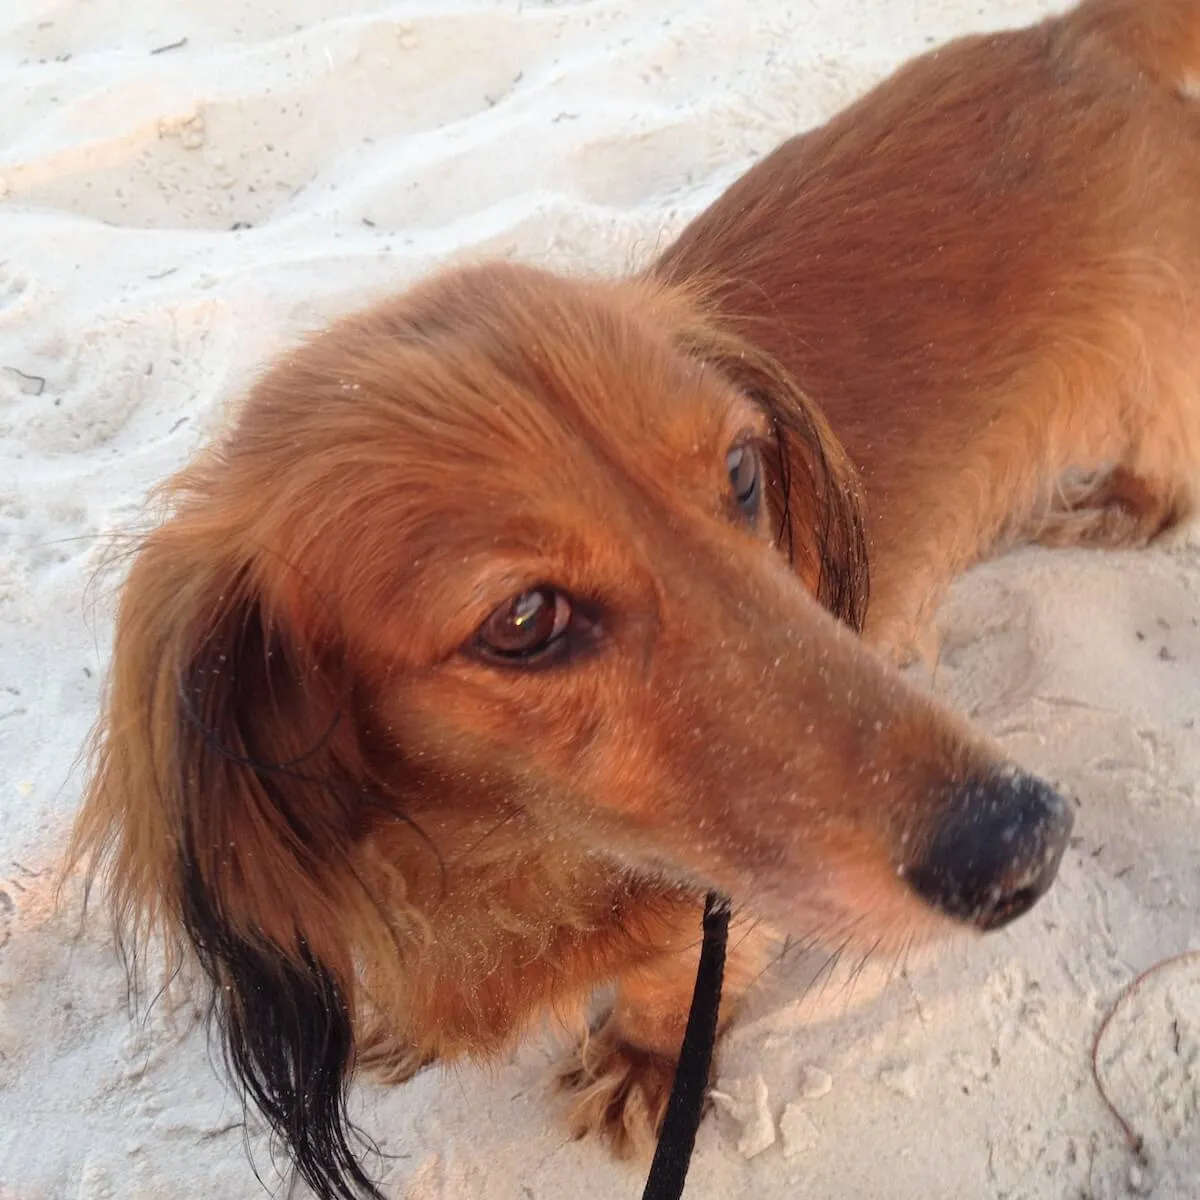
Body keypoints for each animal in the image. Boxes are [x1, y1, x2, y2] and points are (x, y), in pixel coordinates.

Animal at [70, 2, 1195, 1200]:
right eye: (524, 620)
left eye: (743, 472)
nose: (1027, 845)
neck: (514, 847)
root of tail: (1076, 35)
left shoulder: (713, 904)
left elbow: (670, 979)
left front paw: (646, 1061)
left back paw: (1122, 503)